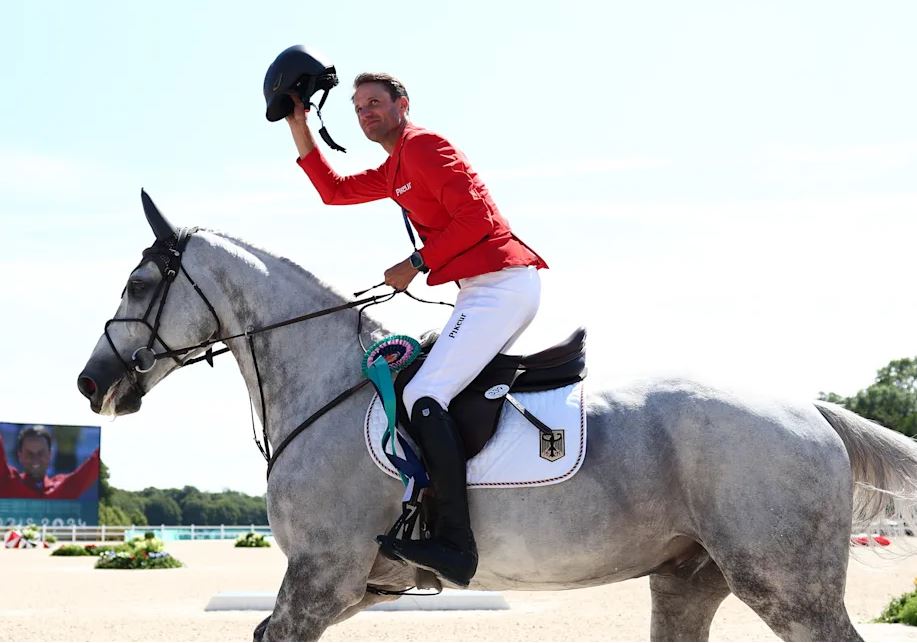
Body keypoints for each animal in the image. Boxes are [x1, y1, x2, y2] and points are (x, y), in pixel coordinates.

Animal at [77, 209, 916, 640]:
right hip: (685, 580)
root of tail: (808, 410)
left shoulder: (320, 577)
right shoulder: (360, 583)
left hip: (785, 585)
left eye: (140, 282)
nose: (92, 382)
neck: (327, 377)